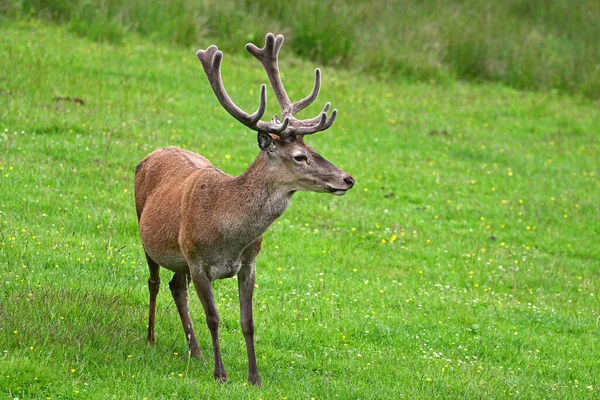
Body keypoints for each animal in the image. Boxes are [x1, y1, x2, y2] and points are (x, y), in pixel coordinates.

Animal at [134, 32, 354, 386]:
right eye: (299, 156)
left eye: (313, 148)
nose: (347, 179)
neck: (228, 233)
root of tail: (154, 152)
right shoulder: (197, 259)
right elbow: (213, 317)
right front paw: (221, 374)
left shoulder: (249, 263)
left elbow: (247, 321)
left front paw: (254, 377)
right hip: (148, 235)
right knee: (154, 283)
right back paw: (151, 338)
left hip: (179, 257)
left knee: (175, 287)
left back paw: (195, 351)